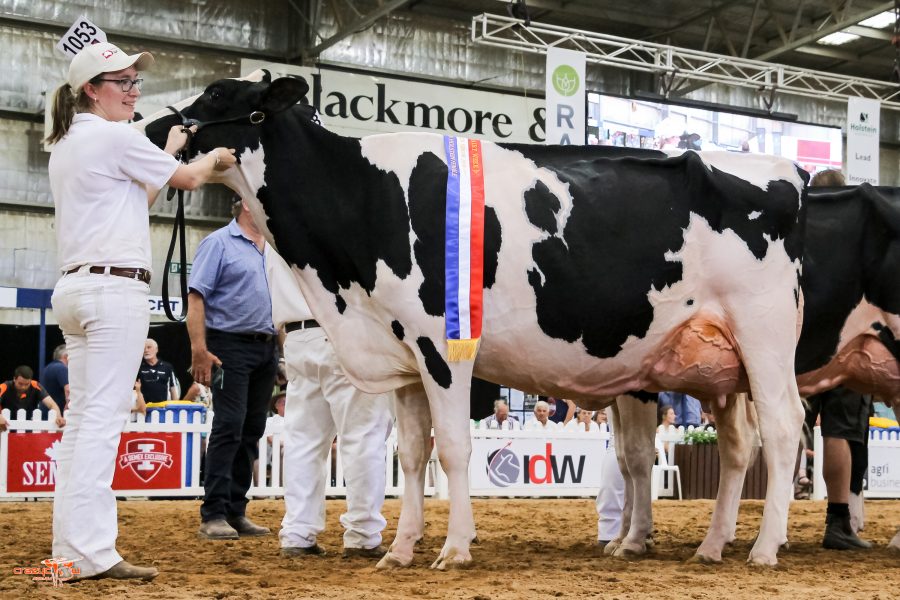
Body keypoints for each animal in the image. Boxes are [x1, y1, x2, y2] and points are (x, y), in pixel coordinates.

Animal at [143, 72, 809, 568]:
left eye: (217, 96)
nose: (151, 128)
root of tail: (788, 174)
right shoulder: (404, 355)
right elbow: (414, 454)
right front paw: (401, 550)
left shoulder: (442, 345)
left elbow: (455, 448)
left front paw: (455, 548)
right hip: (719, 364)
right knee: (739, 445)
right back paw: (713, 545)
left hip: (764, 337)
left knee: (782, 429)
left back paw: (764, 547)